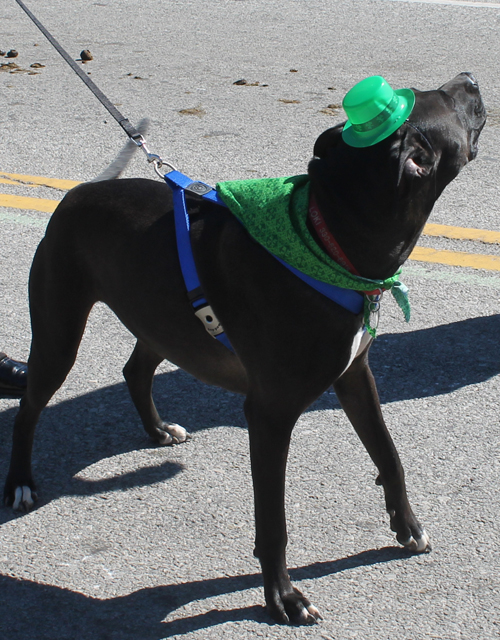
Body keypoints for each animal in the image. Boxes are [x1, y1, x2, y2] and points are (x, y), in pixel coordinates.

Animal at [4, 72, 484, 624]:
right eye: (444, 99)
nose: (471, 79)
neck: (329, 243)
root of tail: (78, 192)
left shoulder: (355, 376)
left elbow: (389, 455)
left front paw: (407, 527)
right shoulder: (270, 414)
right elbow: (273, 519)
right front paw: (283, 597)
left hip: (166, 324)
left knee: (134, 370)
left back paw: (157, 429)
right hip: (60, 332)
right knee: (28, 407)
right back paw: (19, 482)